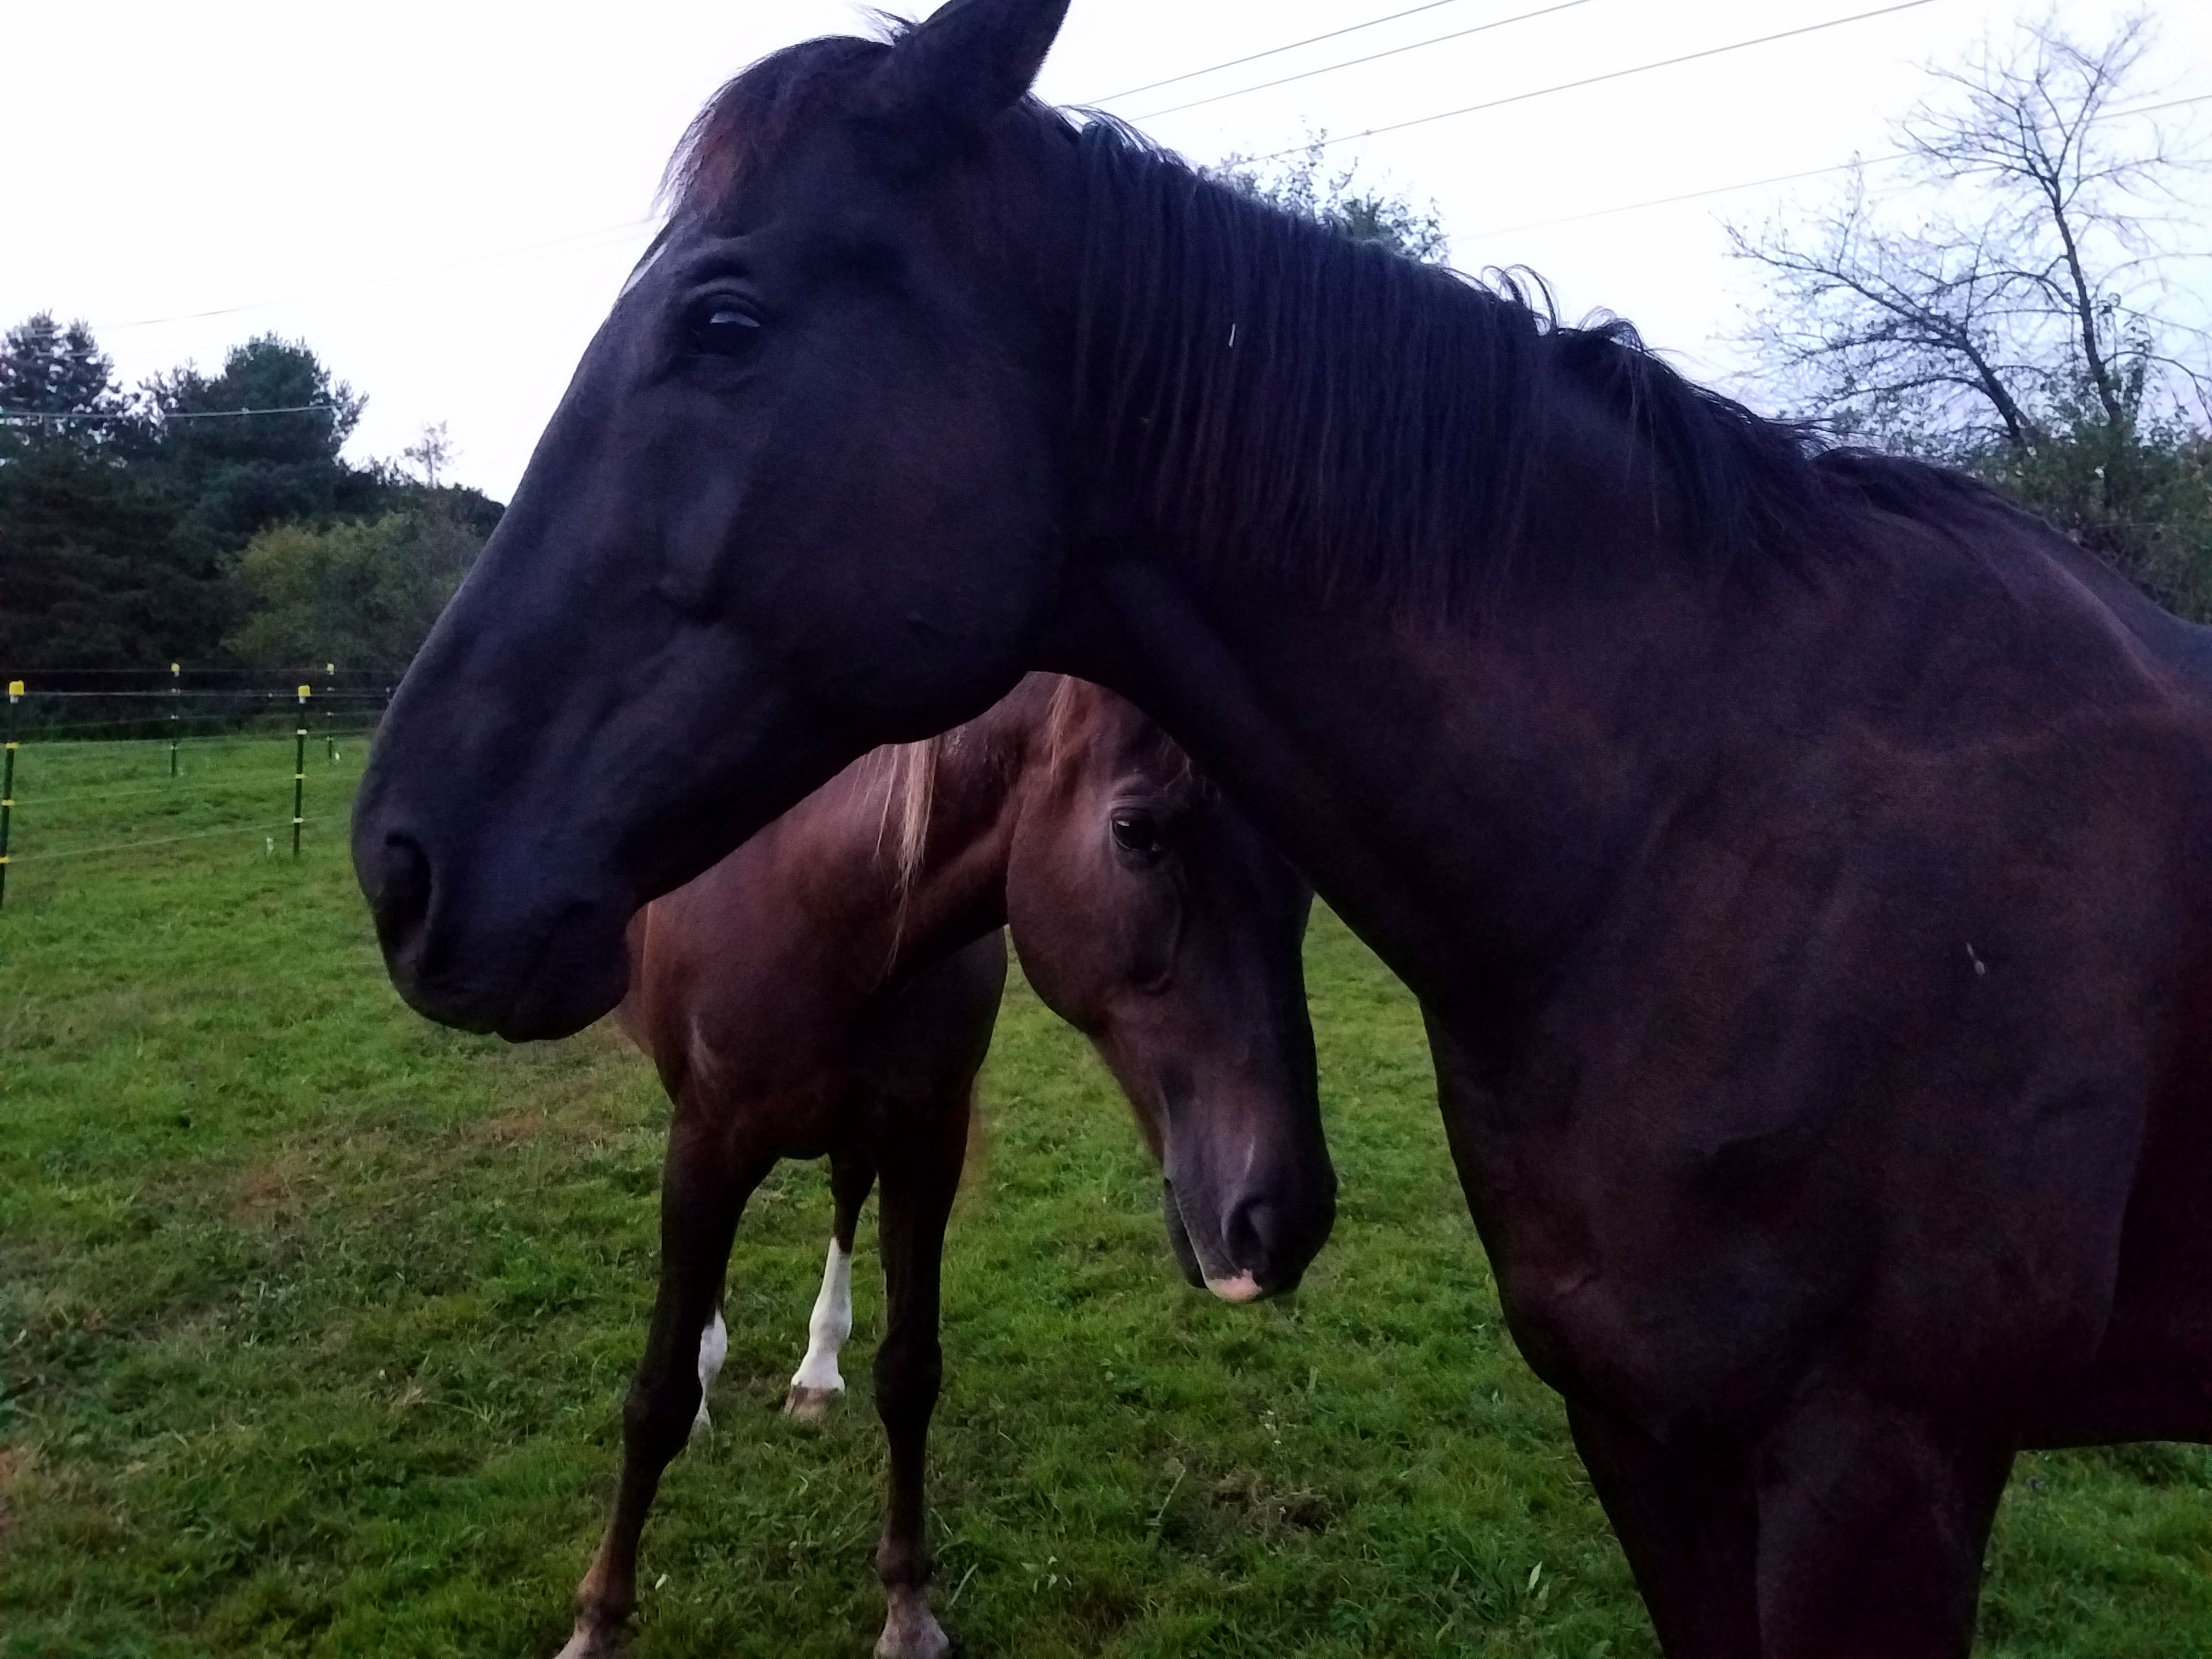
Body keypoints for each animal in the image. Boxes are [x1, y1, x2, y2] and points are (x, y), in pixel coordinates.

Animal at [563, 673, 1330, 1659]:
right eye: (1136, 830)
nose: (1285, 1215)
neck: (827, 898)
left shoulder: (927, 1143)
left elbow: (909, 1372)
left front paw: (907, 1604)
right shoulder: (707, 1139)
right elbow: (654, 1396)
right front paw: (597, 1619)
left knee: (844, 1196)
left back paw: (817, 1370)